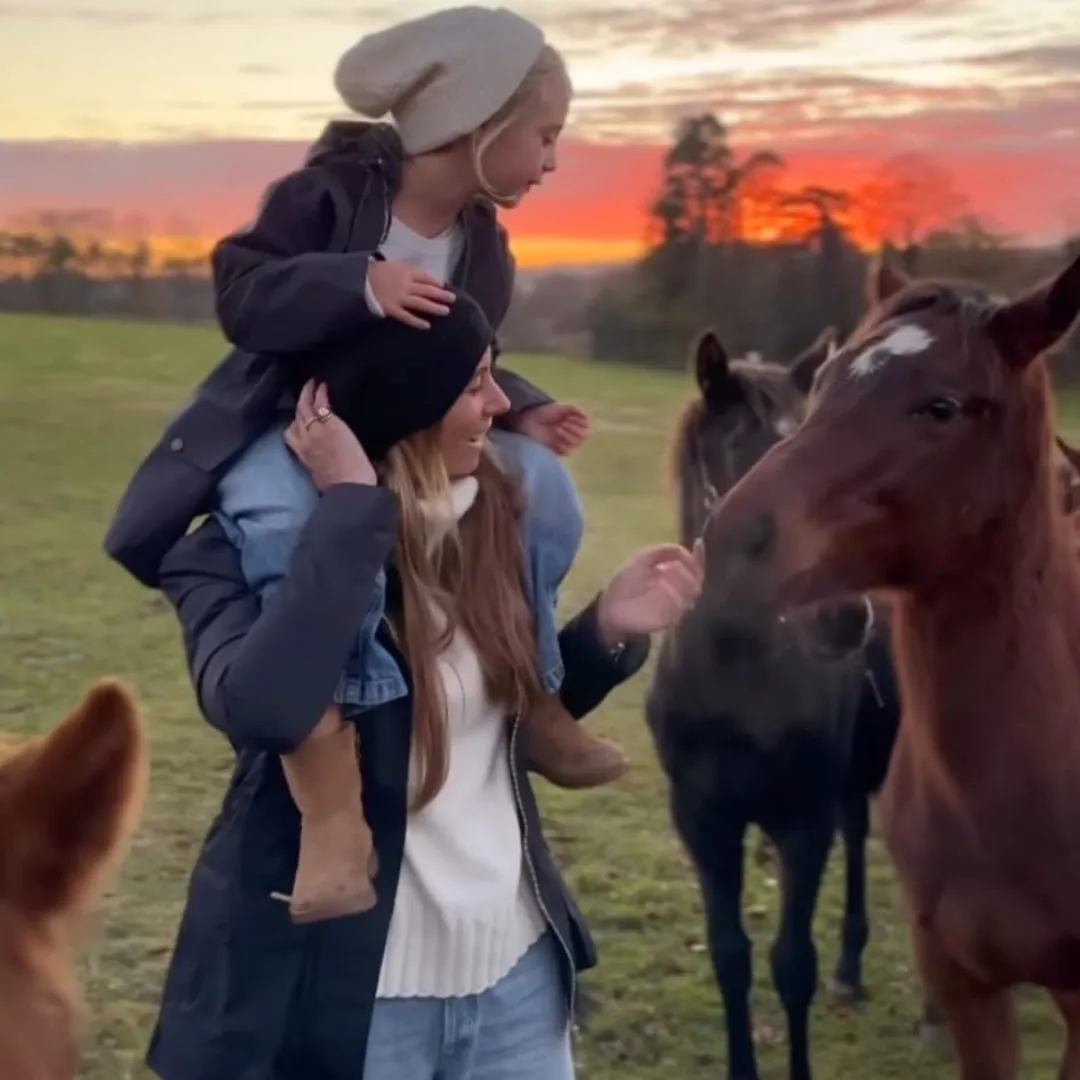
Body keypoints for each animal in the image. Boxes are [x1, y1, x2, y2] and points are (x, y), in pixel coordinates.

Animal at [643, 328, 898, 1080]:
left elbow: (792, 966)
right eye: (738, 452)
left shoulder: (802, 821)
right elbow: (731, 958)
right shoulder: (703, 820)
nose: (842, 615)